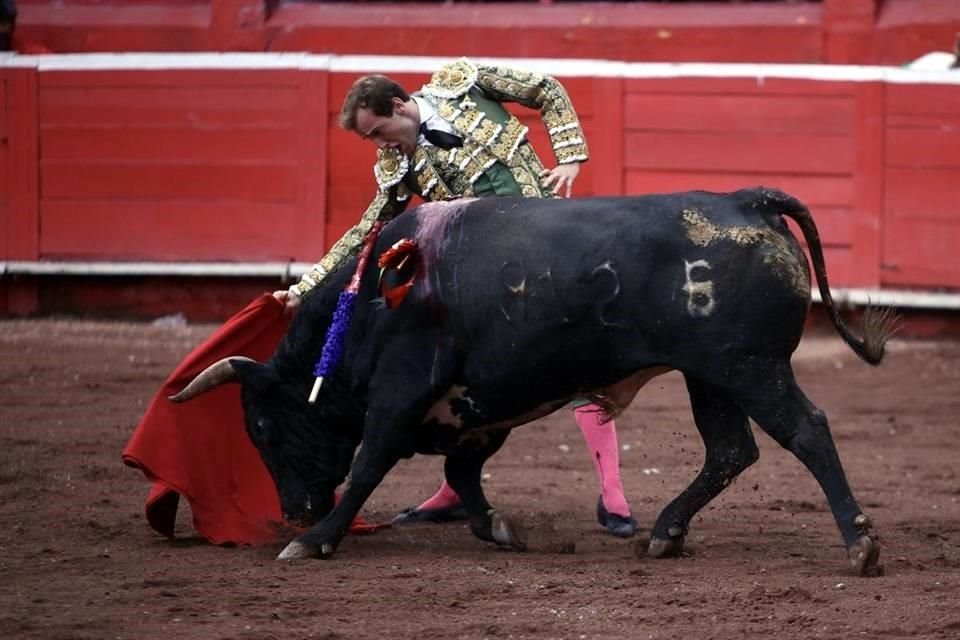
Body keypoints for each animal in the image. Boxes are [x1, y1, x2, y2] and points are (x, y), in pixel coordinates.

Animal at [171, 186, 892, 576]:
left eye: (261, 426)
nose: (293, 510)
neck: (373, 300)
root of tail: (747, 202)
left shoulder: (402, 393)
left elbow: (371, 463)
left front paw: (314, 541)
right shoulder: (473, 407)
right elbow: (462, 472)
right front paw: (500, 529)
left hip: (749, 367)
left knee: (806, 432)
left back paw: (859, 546)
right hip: (710, 376)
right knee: (730, 450)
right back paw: (665, 534)